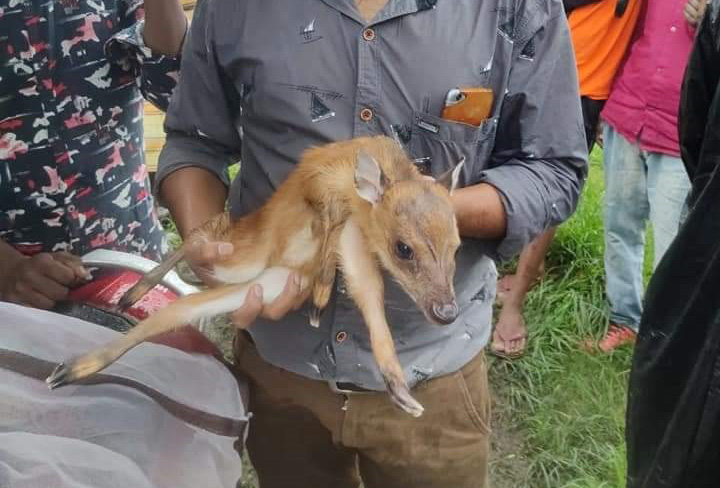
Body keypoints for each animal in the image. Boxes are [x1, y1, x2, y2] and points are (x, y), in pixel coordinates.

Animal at [46, 135, 464, 418]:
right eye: (403, 248)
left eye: (457, 245)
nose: (447, 312)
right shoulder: (321, 185)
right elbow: (328, 227)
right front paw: (321, 294)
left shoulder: (356, 244)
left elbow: (370, 295)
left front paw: (401, 391)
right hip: (236, 252)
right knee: (200, 236)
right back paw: (128, 298)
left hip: (260, 285)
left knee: (176, 310)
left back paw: (73, 366)